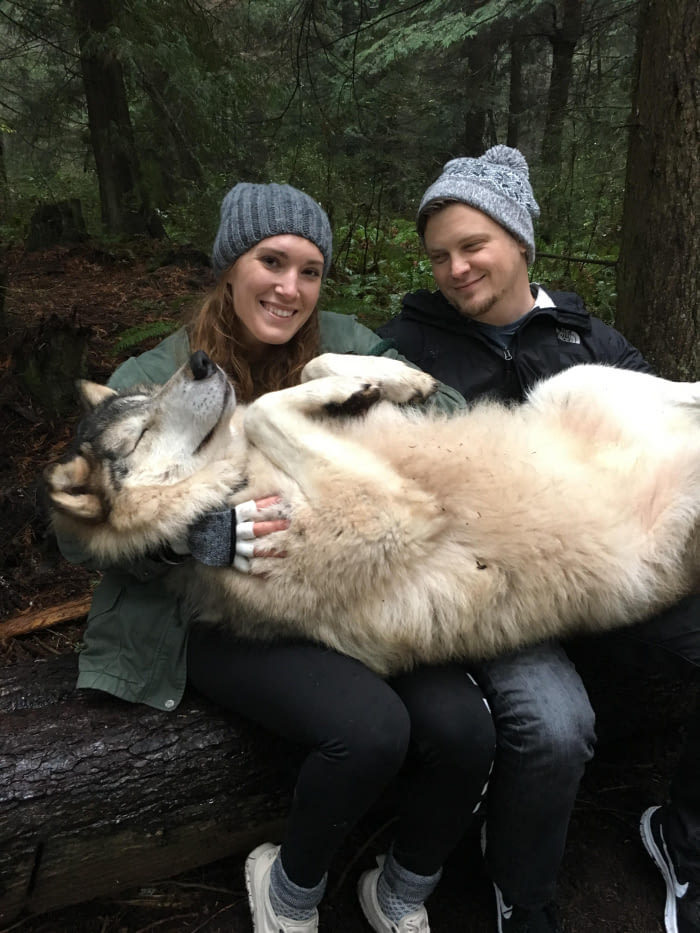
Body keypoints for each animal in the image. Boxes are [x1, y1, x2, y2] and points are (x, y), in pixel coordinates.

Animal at [45, 350, 700, 668]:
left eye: (152, 394)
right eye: (138, 433)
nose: (202, 359)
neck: (233, 487)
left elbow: (297, 375)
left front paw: (391, 381)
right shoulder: (394, 511)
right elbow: (265, 404)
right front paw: (345, 390)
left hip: (570, 382)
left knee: (686, 389)